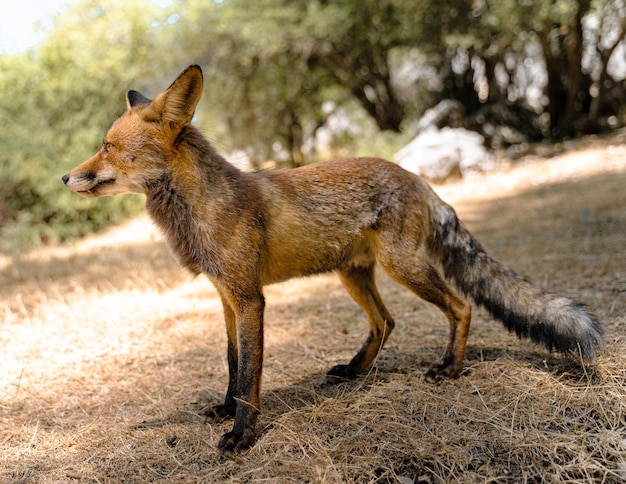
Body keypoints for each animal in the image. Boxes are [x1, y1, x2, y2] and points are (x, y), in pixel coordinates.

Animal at [62, 65, 600, 454]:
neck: (200, 211)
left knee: (461, 306)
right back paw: (355, 371)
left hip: (404, 269)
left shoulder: (250, 299)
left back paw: (449, 368)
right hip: (353, 275)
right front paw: (225, 410)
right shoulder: (225, 297)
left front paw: (241, 435)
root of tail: (416, 177)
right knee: (385, 322)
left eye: (107, 147)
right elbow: (233, 364)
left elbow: (250, 375)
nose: (65, 178)